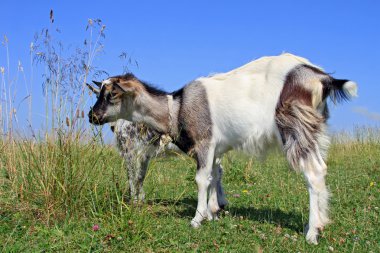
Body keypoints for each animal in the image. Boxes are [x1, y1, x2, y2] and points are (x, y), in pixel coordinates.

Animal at [86, 81, 229, 206]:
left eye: (109, 96)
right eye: (97, 96)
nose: (92, 116)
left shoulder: (130, 151)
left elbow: (131, 177)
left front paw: (133, 201)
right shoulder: (144, 155)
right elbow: (140, 177)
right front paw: (141, 200)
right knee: (218, 170)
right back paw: (221, 203)